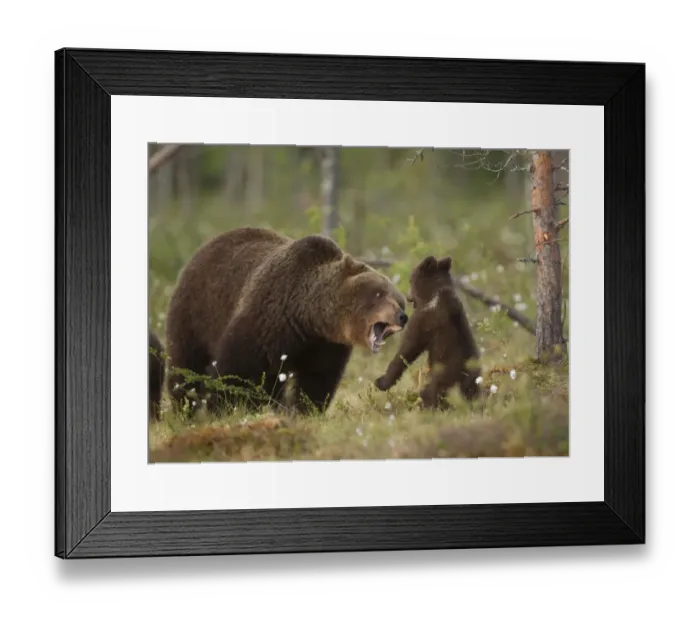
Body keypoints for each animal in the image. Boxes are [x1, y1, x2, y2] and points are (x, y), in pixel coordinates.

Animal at [164, 227, 408, 415]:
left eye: (401, 301)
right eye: (379, 294)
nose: (403, 316)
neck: (307, 316)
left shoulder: (325, 345)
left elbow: (317, 379)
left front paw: (303, 410)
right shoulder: (266, 319)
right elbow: (234, 370)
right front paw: (221, 408)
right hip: (196, 313)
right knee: (186, 364)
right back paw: (184, 409)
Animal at [374, 255, 481, 409]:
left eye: (410, 279)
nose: (408, 296)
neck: (435, 294)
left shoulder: (424, 319)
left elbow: (408, 348)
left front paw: (381, 382)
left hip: (443, 377)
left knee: (429, 393)